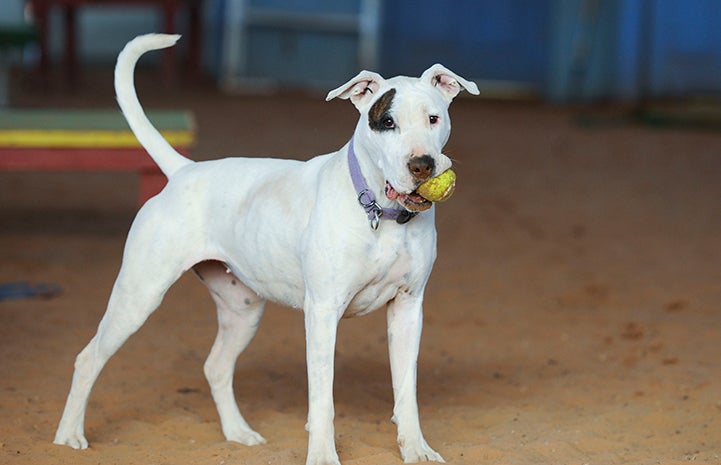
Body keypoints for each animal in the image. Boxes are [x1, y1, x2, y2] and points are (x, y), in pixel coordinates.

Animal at [54, 33, 478, 464]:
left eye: (433, 119)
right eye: (387, 122)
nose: (423, 164)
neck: (379, 212)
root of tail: (184, 170)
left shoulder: (408, 308)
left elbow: (406, 392)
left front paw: (416, 449)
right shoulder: (322, 313)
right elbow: (322, 399)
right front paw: (322, 455)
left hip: (242, 312)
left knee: (216, 366)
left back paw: (238, 433)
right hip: (138, 297)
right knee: (88, 359)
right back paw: (69, 435)